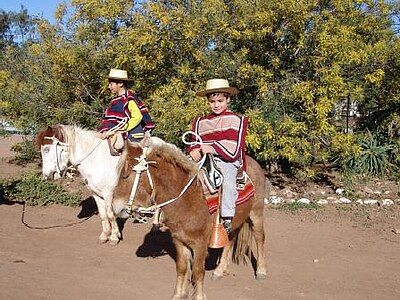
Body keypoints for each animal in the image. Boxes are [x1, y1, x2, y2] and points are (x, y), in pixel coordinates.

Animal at [112, 137, 268, 300]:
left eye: (126, 176)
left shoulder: (200, 244)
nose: (115, 207)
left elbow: (198, 272)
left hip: (256, 213)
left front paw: (199, 296)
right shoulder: (179, 241)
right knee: (230, 240)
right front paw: (177, 295)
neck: (187, 198)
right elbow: (181, 269)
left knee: (259, 238)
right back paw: (220, 270)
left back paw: (261, 271)